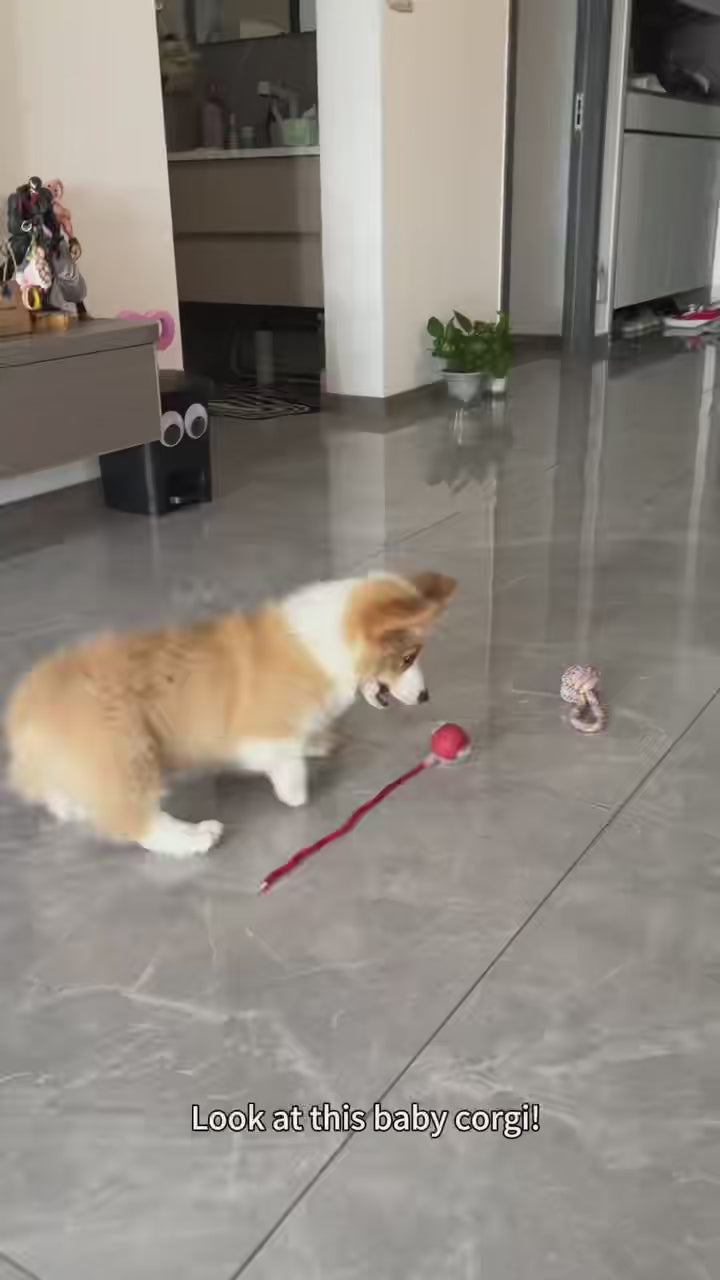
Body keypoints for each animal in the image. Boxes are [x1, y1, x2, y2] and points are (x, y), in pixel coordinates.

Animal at [6, 571, 456, 857]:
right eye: (408, 657)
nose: (426, 696)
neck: (329, 643)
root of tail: (26, 708)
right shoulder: (263, 733)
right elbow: (286, 767)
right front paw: (295, 792)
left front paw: (317, 741)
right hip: (126, 751)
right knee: (138, 821)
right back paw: (195, 838)